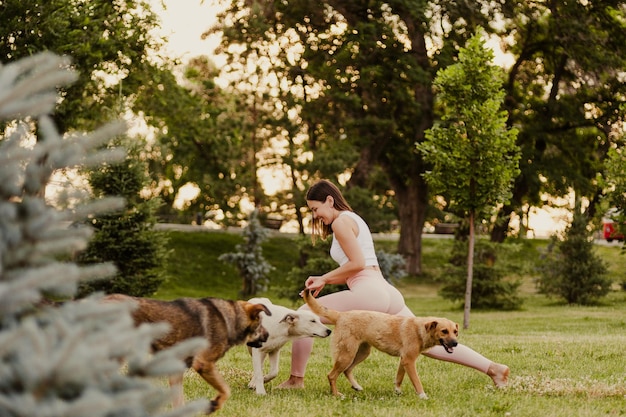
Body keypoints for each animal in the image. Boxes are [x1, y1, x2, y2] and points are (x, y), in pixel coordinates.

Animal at [103, 292, 270, 412]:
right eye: (261, 324)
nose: (268, 335)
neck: (230, 318)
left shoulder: (176, 371)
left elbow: (179, 402)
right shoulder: (204, 364)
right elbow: (226, 389)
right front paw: (215, 404)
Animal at [302, 288, 458, 398]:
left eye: (455, 331)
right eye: (444, 331)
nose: (456, 343)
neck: (420, 330)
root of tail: (341, 315)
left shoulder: (404, 360)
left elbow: (399, 377)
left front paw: (397, 391)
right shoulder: (409, 360)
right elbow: (417, 381)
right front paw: (423, 396)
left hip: (362, 353)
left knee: (347, 370)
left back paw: (356, 386)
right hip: (347, 354)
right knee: (332, 375)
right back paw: (336, 394)